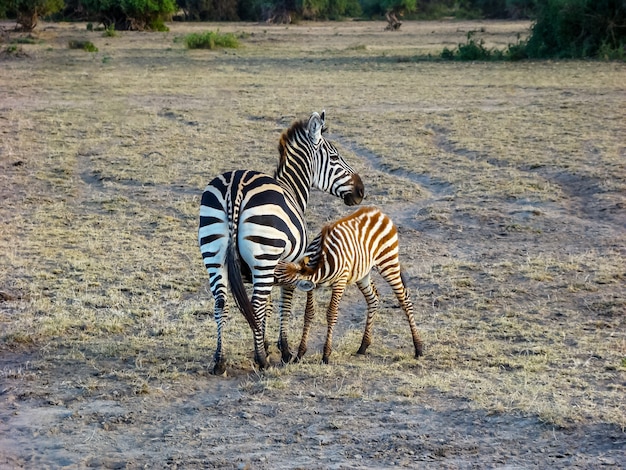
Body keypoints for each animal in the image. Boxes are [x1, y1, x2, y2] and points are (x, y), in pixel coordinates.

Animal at [197, 111, 364, 374]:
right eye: (336, 156)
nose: (361, 190)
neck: (292, 189)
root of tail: (235, 187)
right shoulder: (289, 267)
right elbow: (283, 304)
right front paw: (282, 350)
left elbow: (265, 307)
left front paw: (263, 342)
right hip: (264, 254)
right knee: (254, 303)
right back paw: (261, 361)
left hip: (214, 253)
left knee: (221, 301)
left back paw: (220, 361)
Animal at [274, 207, 424, 366]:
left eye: (276, 276)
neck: (319, 265)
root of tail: (377, 211)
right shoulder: (312, 287)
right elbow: (308, 313)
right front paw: (300, 354)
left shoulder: (340, 282)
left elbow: (331, 314)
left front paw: (325, 355)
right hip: (362, 273)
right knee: (373, 298)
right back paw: (363, 346)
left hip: (388, 262)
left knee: (404, 300)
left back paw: (418, 348)